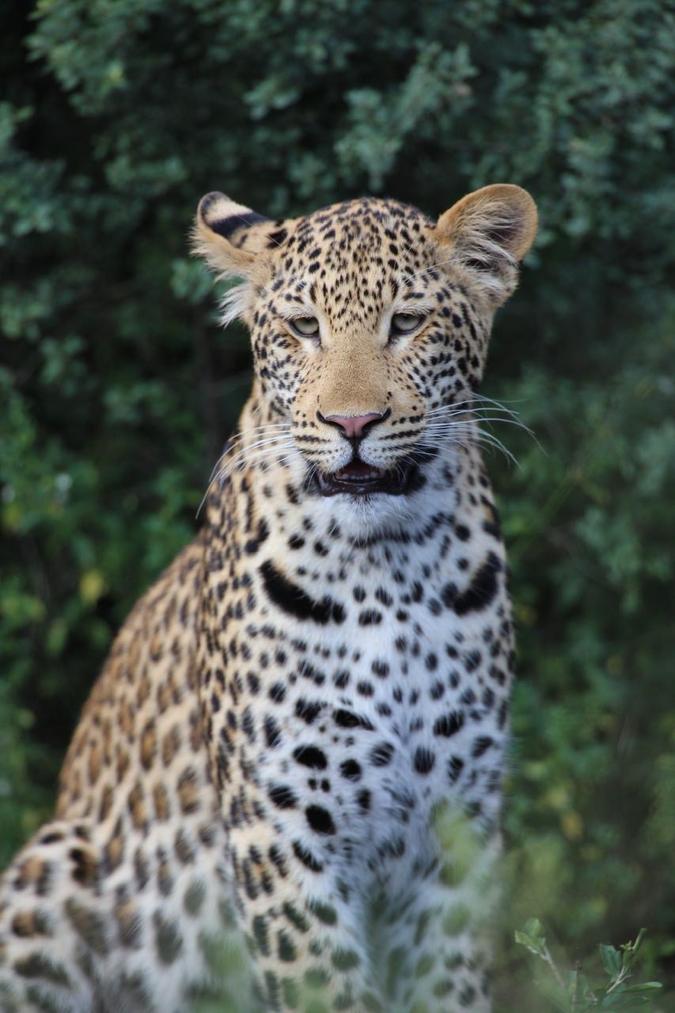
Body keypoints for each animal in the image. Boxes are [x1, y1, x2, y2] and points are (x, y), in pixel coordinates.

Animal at [0, 181, 537, 1012]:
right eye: (303, 327)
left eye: (406, 322)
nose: (352, 423)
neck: (390, 573)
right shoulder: (281, 834)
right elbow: (327, 988)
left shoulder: (455, 833)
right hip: (51, 866)